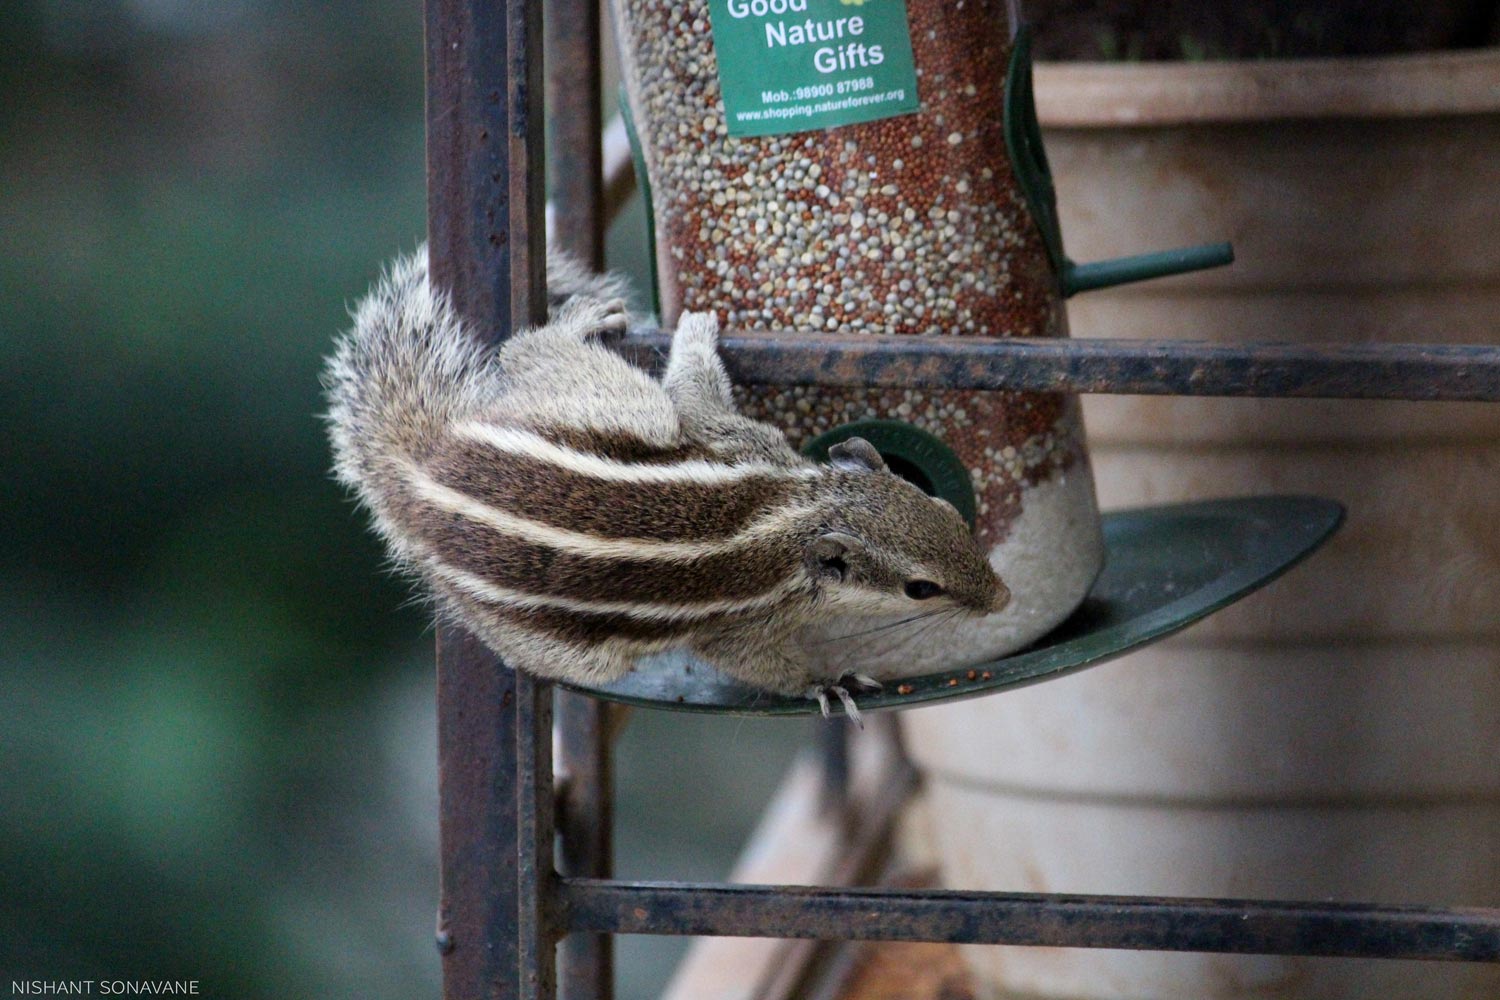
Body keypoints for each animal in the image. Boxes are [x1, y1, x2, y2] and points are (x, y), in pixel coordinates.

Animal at [323, 246, 1009, 718]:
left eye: (947, 510)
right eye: (920, 588)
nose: (1001, 599)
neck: (797, 509)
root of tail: (428, 474)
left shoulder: (747, 444)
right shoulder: (741, 625)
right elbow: (761, 666)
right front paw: (828, 683)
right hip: (622, 439)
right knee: (528, 350)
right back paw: (575, 321)